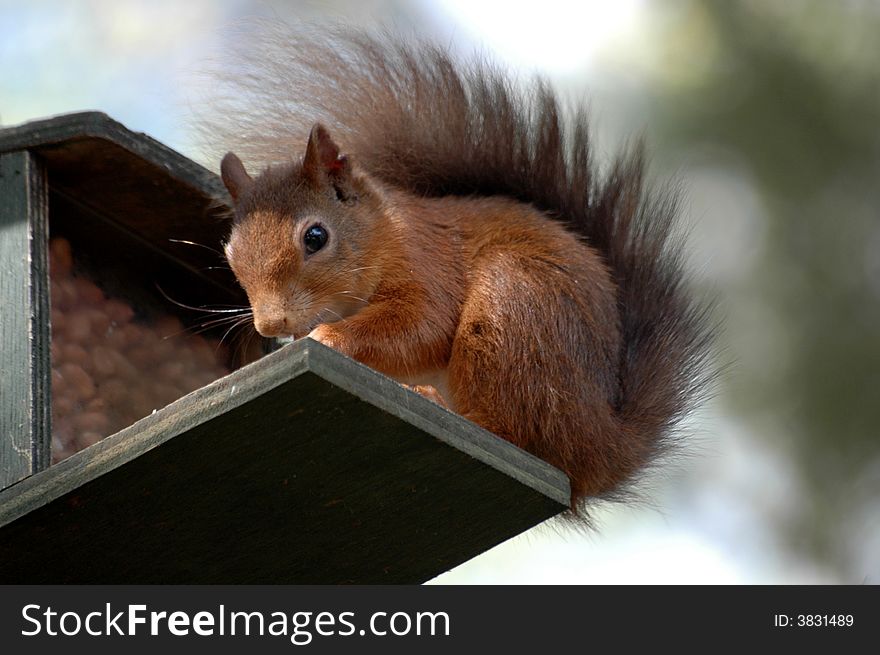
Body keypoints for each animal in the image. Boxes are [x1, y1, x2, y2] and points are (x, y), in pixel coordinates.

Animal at [206, 26, 716, 512]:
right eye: (230, 253)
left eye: (315, 237)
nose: (271, 323)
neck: (382, 235)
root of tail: (603, 443)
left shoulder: (428, 263)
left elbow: (423, 324)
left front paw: (327, 338)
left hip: (514, 309)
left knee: (513, 435)